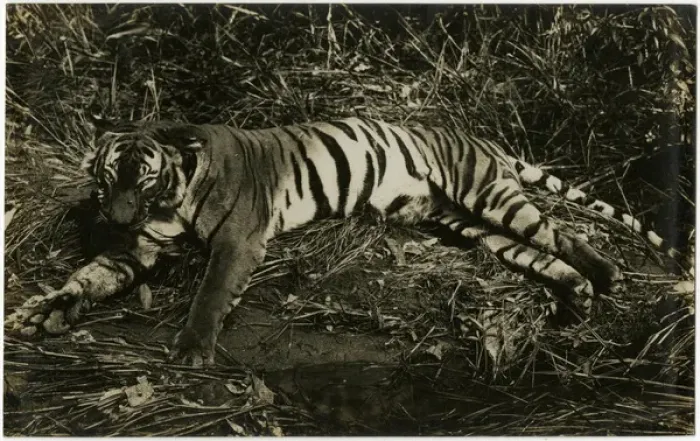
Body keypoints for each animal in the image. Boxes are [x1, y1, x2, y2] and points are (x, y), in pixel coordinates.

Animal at [5, 116, 689, 367]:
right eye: (105, 177)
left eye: (142, 176)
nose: (117, 214)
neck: (170, 198)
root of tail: (480, 138)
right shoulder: (135, 250)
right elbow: (85, 279)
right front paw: (44, 313)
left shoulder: (238, 242)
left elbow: (209, 295)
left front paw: (193, 350)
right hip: (467, 227)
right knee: (538, 253)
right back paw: (578, 298)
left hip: (488, 195)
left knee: (560, 230)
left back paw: (606, 275)